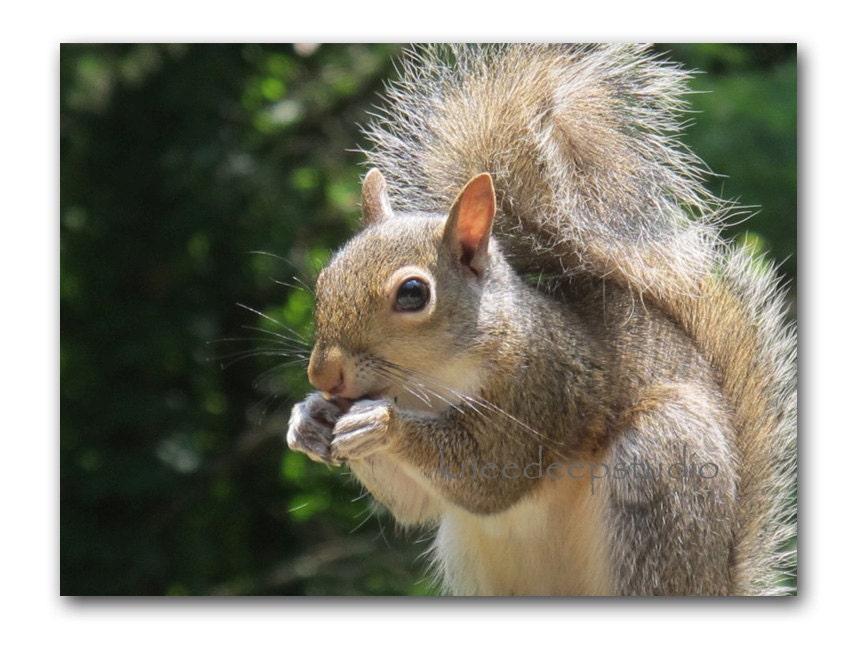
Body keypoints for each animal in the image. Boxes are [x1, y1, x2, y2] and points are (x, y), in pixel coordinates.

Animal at [286, 44, 797, 596]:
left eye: (413, 293)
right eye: (325, 277)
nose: (323, 375)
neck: (426, 383)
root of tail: (715, 581)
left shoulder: (542, 386)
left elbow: (490, 478)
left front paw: (381, 422)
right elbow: (414, 504)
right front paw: (308, 418)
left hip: (662, 469)